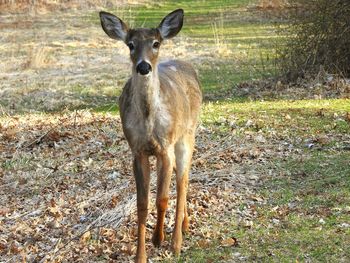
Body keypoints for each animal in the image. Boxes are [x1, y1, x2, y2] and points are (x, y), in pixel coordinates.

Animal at [100, 8, 201, 263]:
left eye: (156, 43)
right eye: (130, 45)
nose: (144, 67)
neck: (148, 121)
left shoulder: (165, 148)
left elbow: (162, 198)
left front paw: (159, 239)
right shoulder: (138, 150)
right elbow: (143, 203)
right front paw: (140, 255)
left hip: (187, 135)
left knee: (183, 180)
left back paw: (177, 241)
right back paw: (184, 225)